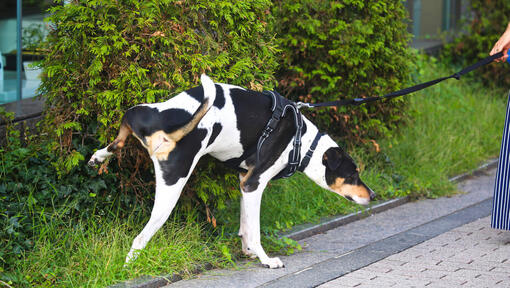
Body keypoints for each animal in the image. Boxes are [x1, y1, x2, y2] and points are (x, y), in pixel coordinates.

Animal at [86, 73, 374, 268]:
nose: (373, 195)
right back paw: (128, 266)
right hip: (171, 188)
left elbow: (245, 226)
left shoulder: (244, 182)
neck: (301, 142)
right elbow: (254, 231)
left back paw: (99, 156)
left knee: (121, 133)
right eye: (353, 174)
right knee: (139, 238)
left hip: (139, 112)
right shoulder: (254, 185)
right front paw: (266, 259)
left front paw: (248, 252)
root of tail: (163, 126)